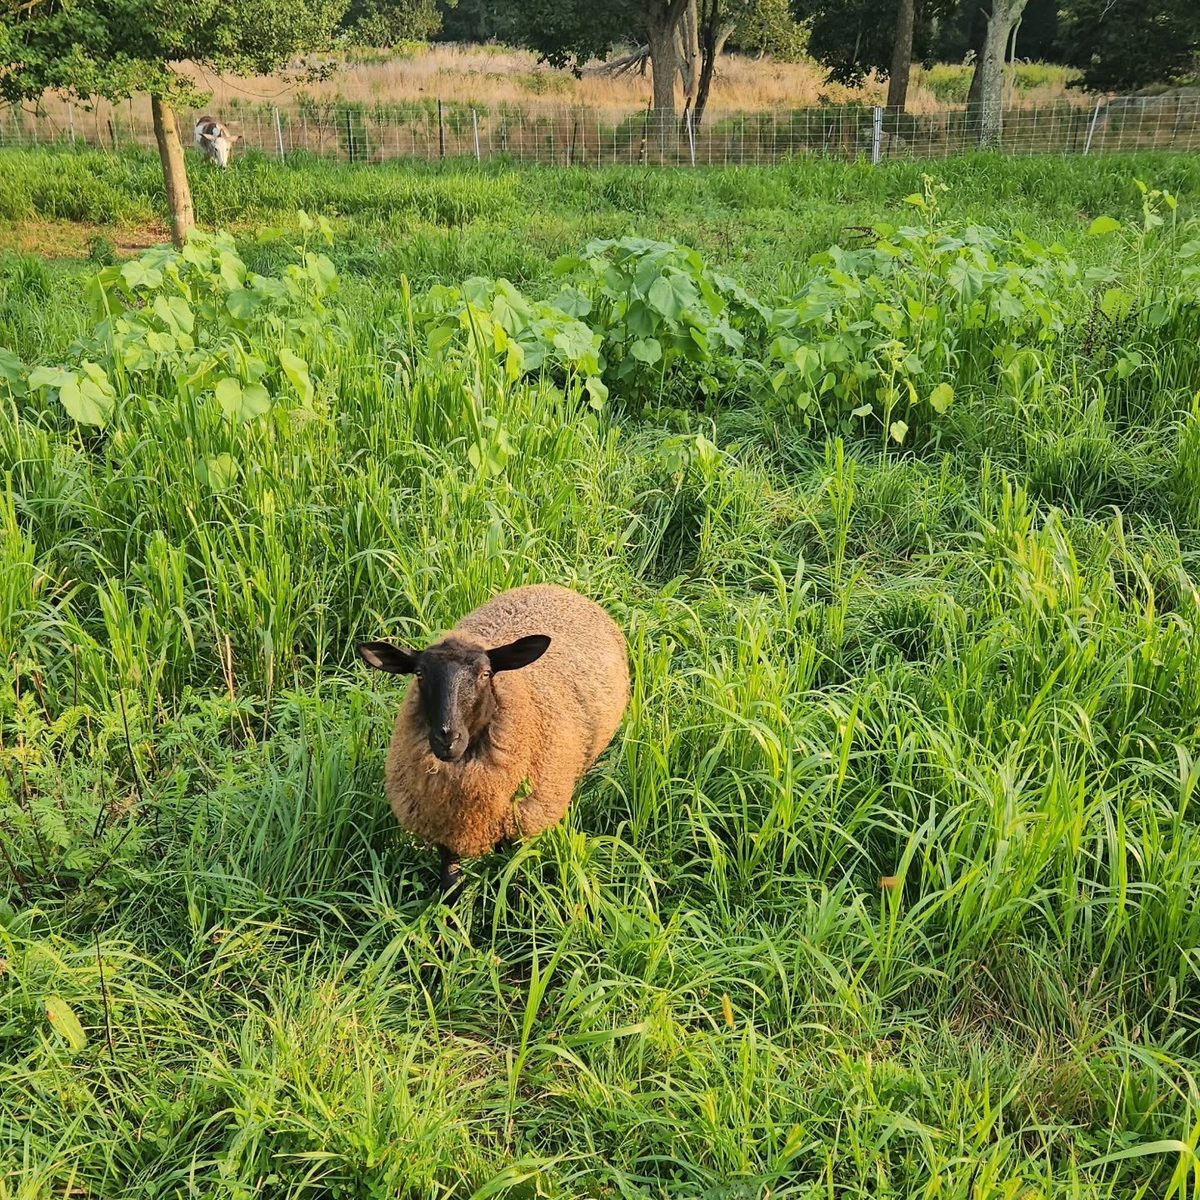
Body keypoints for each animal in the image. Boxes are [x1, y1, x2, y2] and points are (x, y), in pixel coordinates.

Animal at [359, 584, 630, 898]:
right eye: (419, 674)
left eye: (486, 674)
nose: (447, 737)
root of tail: (558, 587)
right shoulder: (444, 825)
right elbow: (451, 883)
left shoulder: (515, 824)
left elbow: (507, 874)